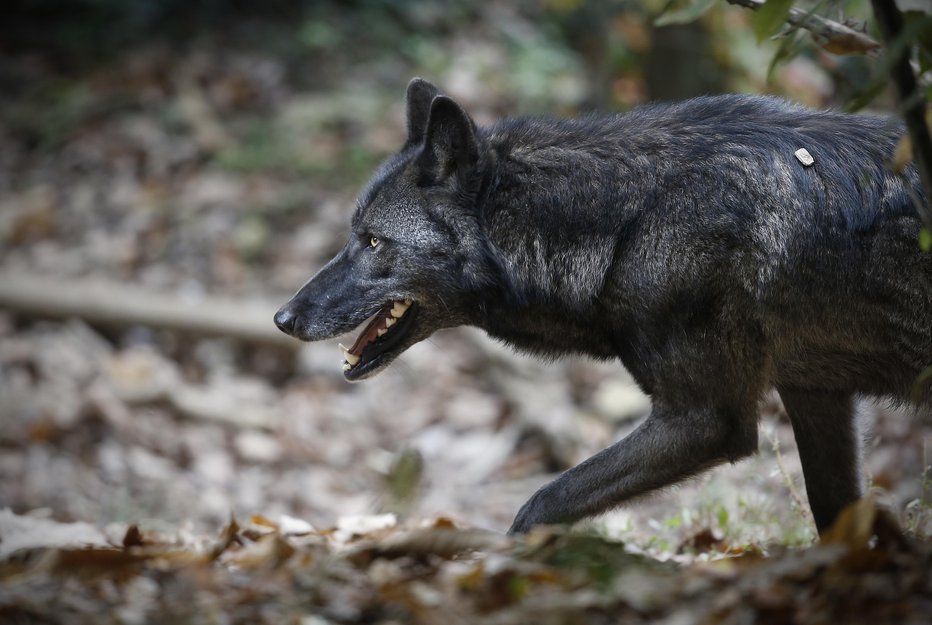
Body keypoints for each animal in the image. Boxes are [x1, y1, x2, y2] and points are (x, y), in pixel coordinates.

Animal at [274, 78, 932, 532]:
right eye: (352, 233)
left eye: (373, 242)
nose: (282, 318)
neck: (626, 223)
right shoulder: (819, 396)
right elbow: (838, 519)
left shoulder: (706, 419)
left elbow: (540, 504)